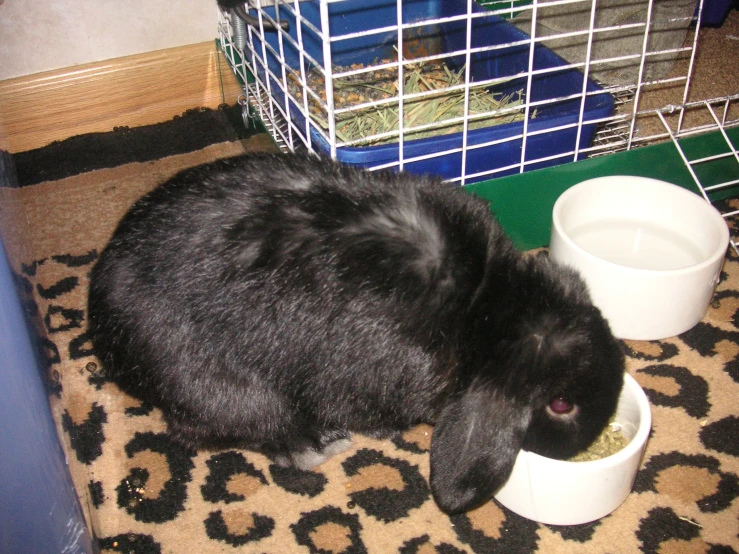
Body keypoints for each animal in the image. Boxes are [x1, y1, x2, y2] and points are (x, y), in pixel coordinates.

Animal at [89, 152, 628, 512]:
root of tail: (103, 331)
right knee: (223, 426)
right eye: (561, 404)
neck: (486, 310)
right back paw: (313, 444)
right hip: (219, 385)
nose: (586, 441)